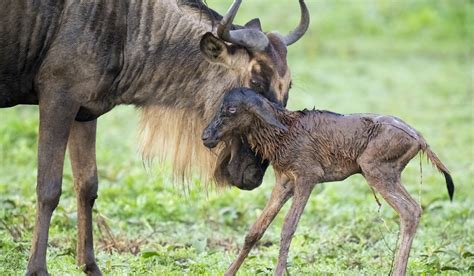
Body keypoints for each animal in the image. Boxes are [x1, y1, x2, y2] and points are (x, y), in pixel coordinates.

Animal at [200, 87, 452, 274]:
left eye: (231, 109)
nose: (206, 136)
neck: (283, 132)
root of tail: (419, 138)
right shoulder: (285, 182)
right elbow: (255, 231)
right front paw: (229, 272)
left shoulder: (308, 177)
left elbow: (288, 227)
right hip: (388, 174)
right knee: (414, 209)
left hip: (376, 170)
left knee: (410, 210)